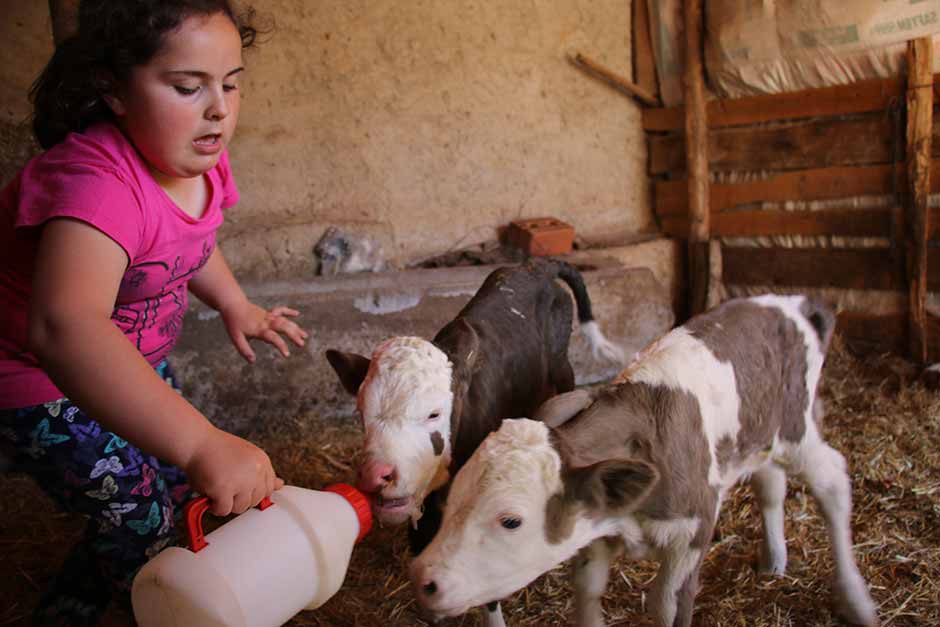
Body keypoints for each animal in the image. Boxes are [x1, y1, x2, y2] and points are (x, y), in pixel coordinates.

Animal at [412, 296, 880, 627]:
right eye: (452, 501)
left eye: (511, 520)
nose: (423, 579)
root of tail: (793, 302)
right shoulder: (596, 530)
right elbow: (587, 593)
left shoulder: (693, 531)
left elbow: (667, 606)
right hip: (758, 434)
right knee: (770, 483)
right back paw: (775, 558)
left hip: (797, 429)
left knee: (833, 482)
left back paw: (856, 600)